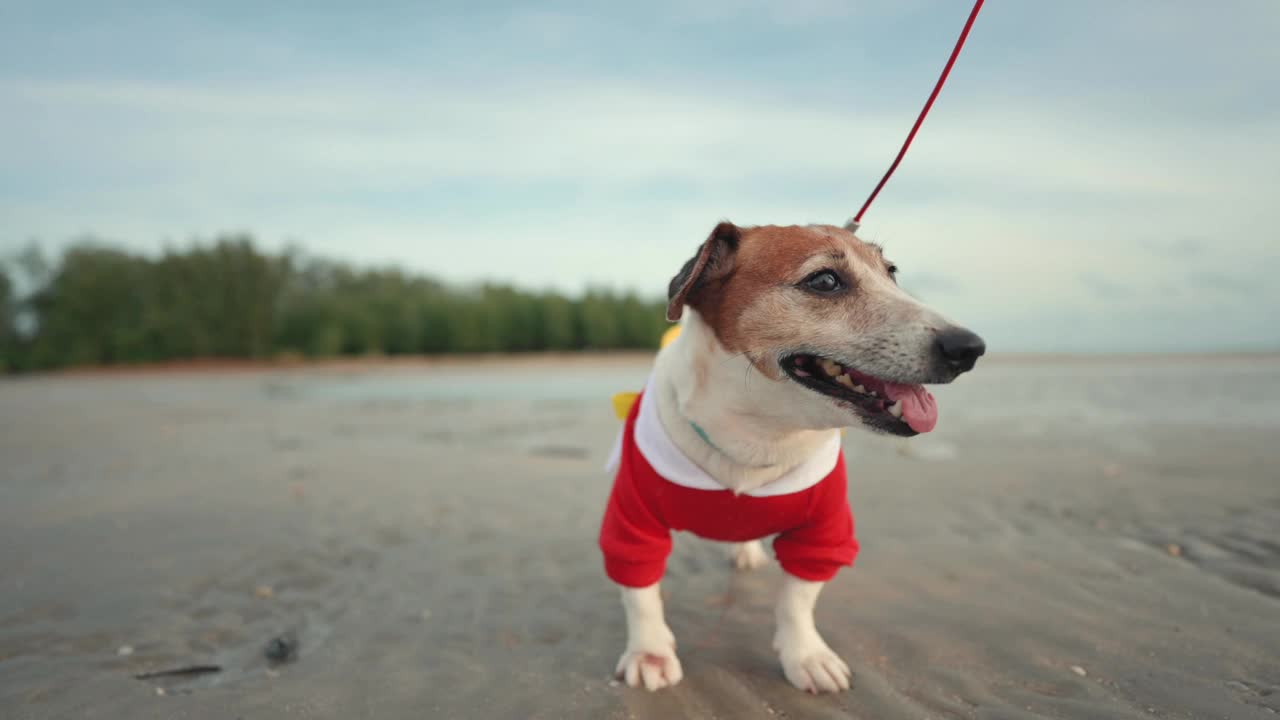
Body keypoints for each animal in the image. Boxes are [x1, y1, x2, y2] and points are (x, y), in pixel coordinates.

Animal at [593, 220, 983, 691]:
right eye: (825, 281)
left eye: (891, 273)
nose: (970, 348)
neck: (758, 434)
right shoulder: (633, 521)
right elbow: (641, 594)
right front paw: (649, 652)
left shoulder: (823, 530)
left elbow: (798, 600)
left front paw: (806, 656)